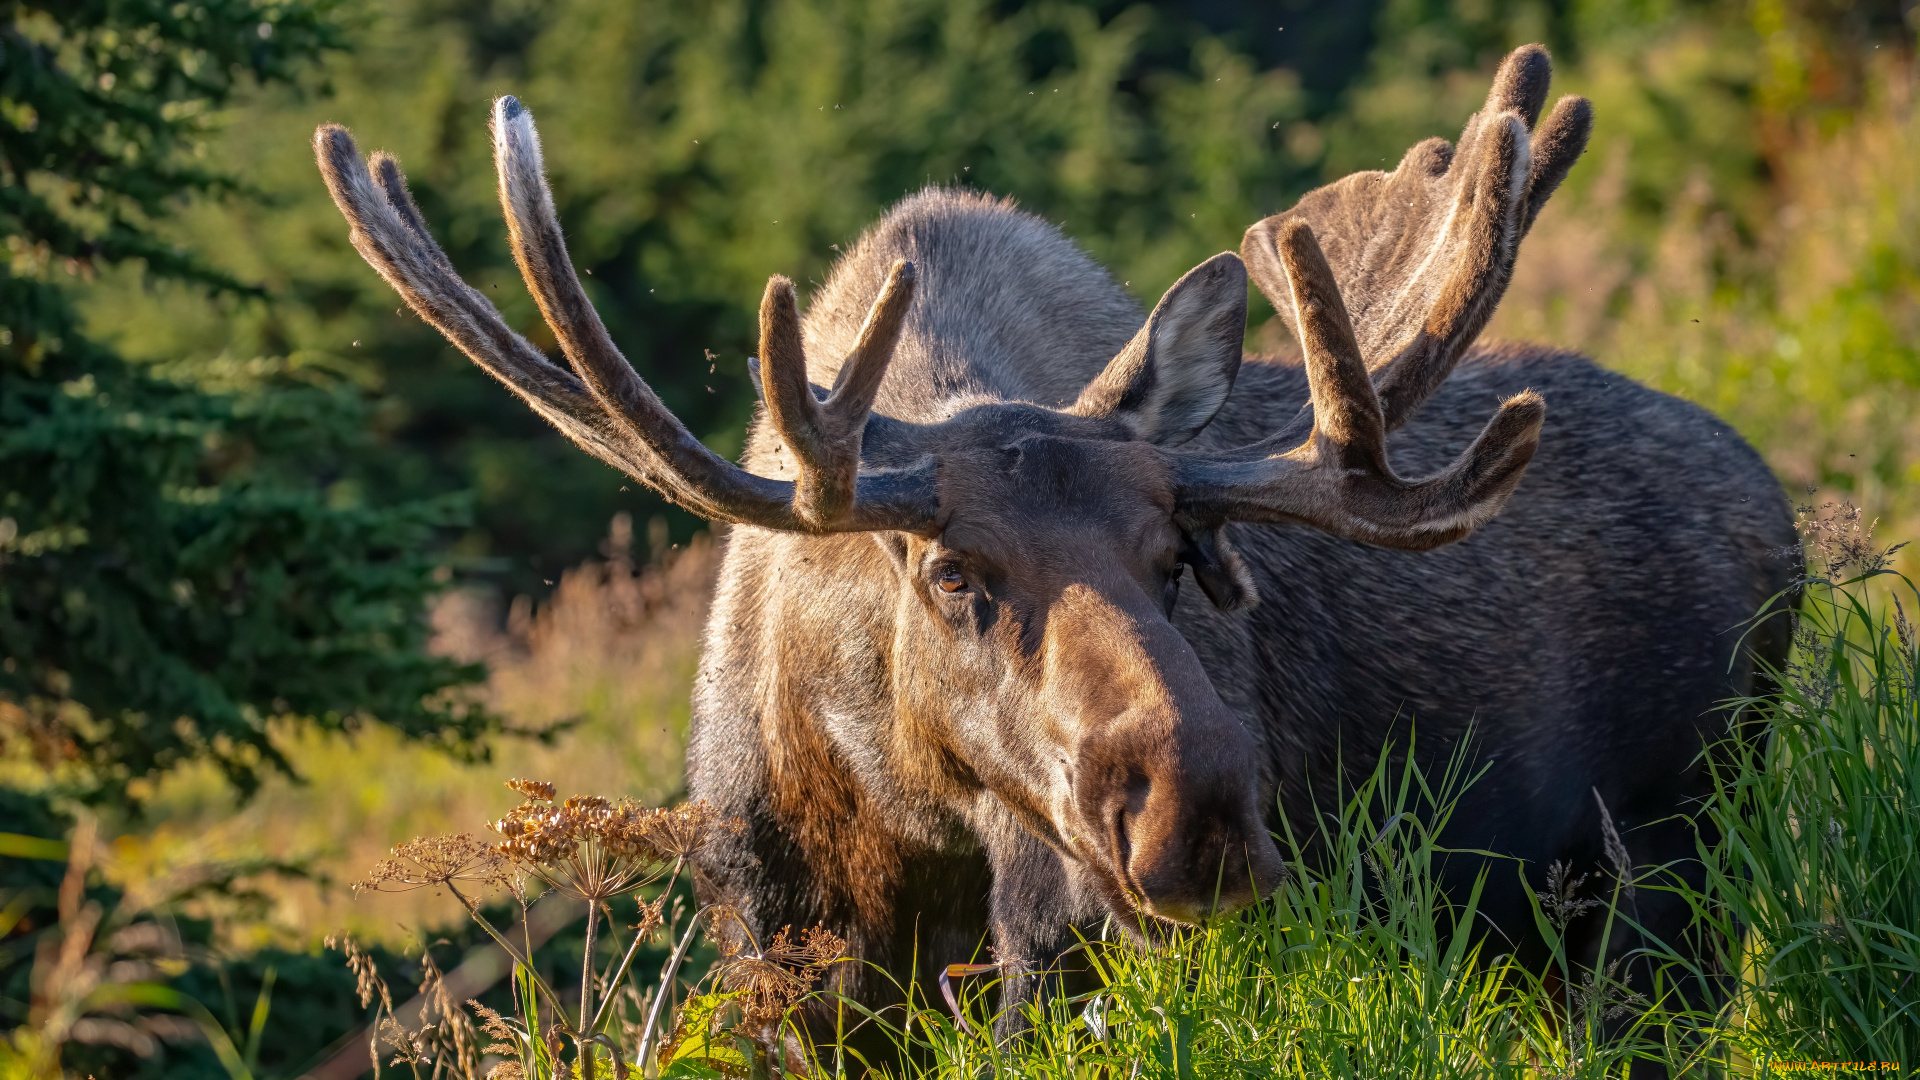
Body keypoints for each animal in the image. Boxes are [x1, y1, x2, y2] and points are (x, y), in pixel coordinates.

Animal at [318, 44, 1797, 1060]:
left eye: (1181, 556)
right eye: (955, 576)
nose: (1197, 816)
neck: (889, 828)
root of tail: (1775, 503)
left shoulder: (1060, 942)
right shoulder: (778, 949)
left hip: (1672, 850)